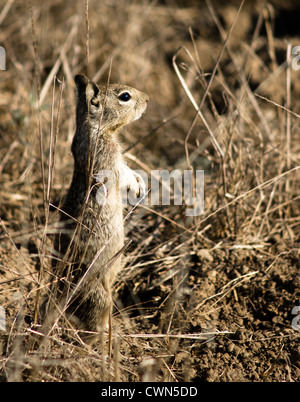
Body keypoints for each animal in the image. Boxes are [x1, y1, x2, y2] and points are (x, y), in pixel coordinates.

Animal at [42, 73, 148, 342]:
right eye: (125, 96)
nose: (147, 99)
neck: (94, 128)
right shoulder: (109, 160)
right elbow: (123, 174)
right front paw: (137, 187)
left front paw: (142, 185)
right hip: (99, 295)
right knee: (92, 323)